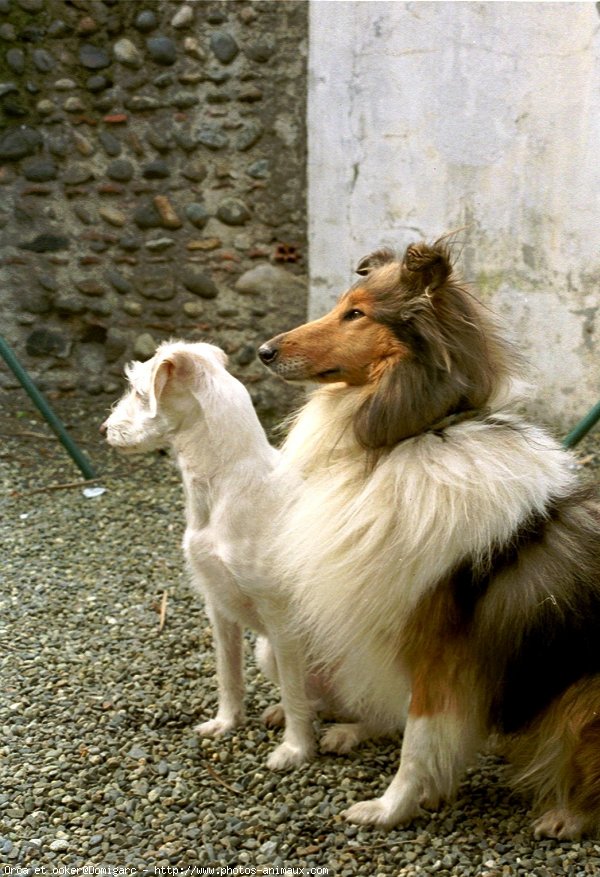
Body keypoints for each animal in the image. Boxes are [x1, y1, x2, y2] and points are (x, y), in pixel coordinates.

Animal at [102, 338, 318, 768]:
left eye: (138, 391)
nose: (104, 430)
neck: (228, 483)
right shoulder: (218, 607)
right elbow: (227, 673)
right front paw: (226, 722)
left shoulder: (282, 619)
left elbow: (293, 689)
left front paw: (295, 749)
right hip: (265, 650)